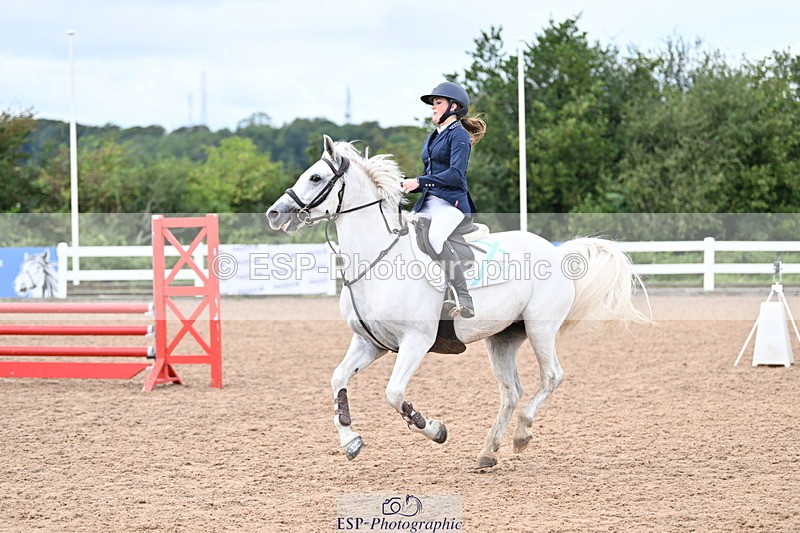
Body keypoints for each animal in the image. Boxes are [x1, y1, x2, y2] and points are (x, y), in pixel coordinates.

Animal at [266, 135, 651, 469]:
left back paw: (522, 434)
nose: (275, 213)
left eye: (316, 177)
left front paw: (435, 430)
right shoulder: (370, 343)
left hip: (540, 329)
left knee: (551, 377)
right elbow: (338, 379)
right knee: (512, 391)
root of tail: (557, 252)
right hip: (503, 338)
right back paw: (488, 451)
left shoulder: (416, 341)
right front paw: (350, 440)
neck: (378, 259)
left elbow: (394, 393)